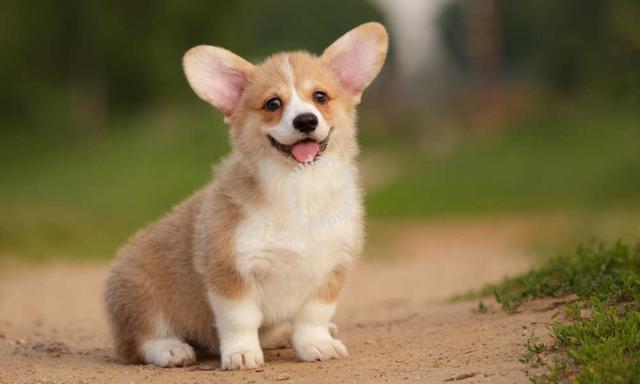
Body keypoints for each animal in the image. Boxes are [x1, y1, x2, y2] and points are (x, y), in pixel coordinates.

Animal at [103, 21, 388, 368]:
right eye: (273, 103)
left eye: (320, 96)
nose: (306, 120)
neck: (300, 188)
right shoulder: (231, 271)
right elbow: (240, 320)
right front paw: (241, 354)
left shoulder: (331, 270)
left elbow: (313, 317)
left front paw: (317, 345)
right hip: (140, 294)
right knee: (139, 340)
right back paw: (171, 349)